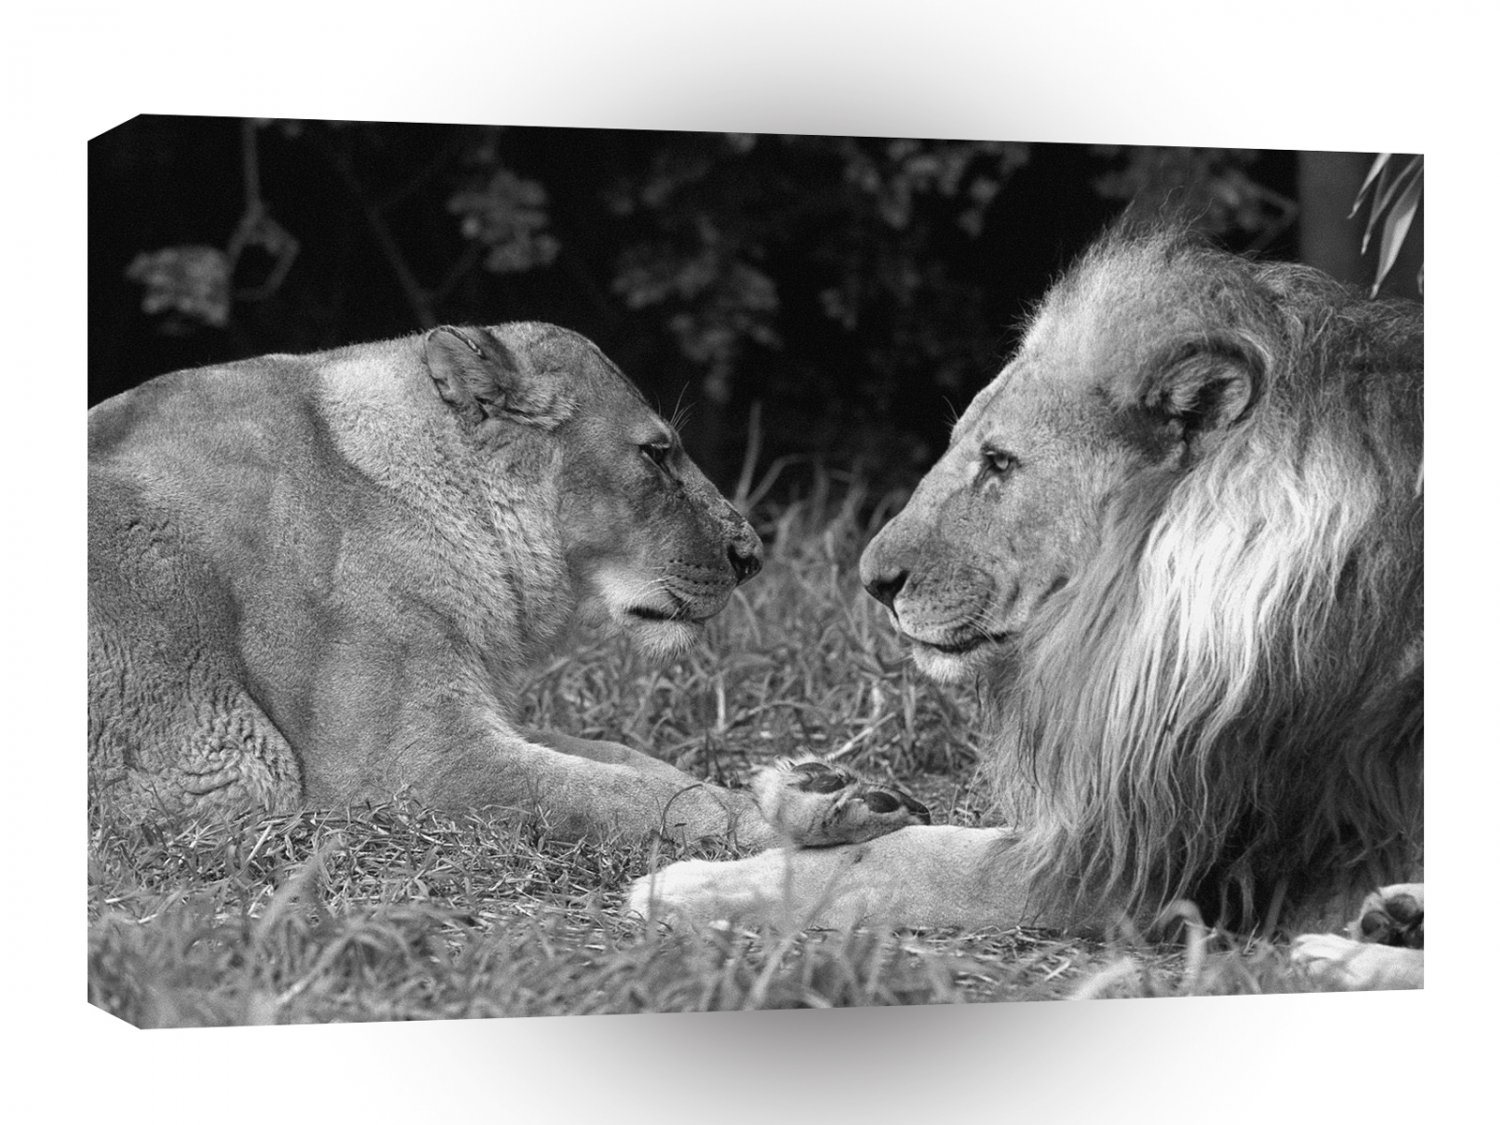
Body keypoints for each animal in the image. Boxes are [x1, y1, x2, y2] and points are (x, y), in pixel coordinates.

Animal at [90, 321, 785, 843]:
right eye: (655, 454)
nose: (752, 555)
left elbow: (626, 761)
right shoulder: (406, 766)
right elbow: (603, 794)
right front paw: (756, 821)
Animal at [629, 225, 1424, 990]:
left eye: (1000, 463)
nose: (872, 581)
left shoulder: (1150, 859)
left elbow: (909, 861)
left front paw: (692, 885)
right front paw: (815, 796)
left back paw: (1345, 955)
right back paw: (1395, 914)